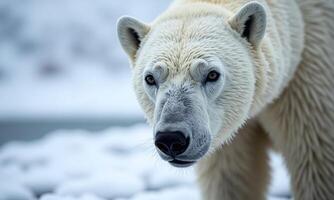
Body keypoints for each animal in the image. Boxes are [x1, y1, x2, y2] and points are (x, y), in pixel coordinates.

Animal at [117, 0, 334, 198]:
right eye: (150, 78)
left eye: (212, 74)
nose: (171, 139)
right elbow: (231, 177)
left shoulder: (308, 89)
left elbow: (315, 166)